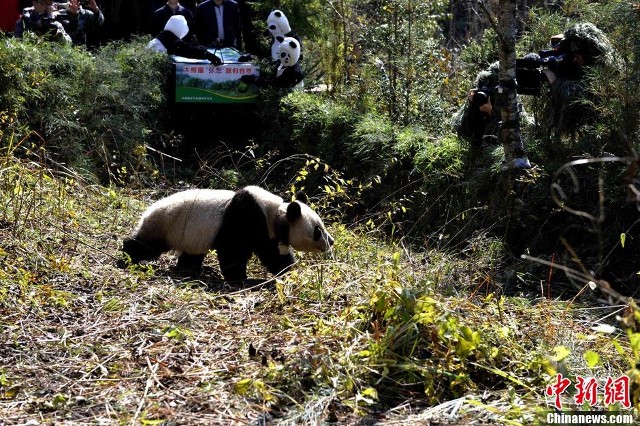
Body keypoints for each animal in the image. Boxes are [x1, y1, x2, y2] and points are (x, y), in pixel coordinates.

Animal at [122, 186, 338, 280]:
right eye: (318, 231)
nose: (332, 241)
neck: (278, 215)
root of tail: (146, 212)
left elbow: (273, 253)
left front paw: (287, 270)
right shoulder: (246, 216)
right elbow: (234, 250)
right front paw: (239, 278)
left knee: (192, 253)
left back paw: (190, 269)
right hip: (165, 225)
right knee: (146, 245)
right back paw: (128, 255)